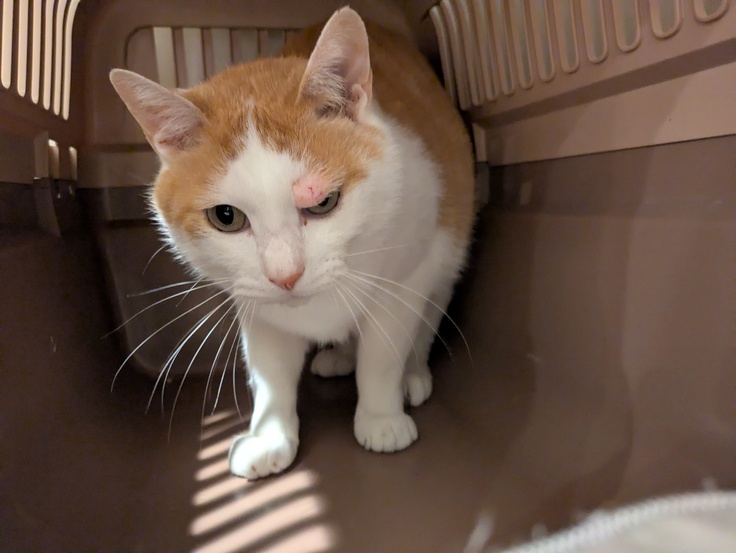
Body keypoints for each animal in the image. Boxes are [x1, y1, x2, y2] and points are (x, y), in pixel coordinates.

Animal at [110, 6, 475, 480]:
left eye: (323, 202)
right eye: (225, 217)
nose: (285, 276)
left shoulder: (404, 280)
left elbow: (381, 357)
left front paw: (381, 416)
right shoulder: (256, 307)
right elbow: (270, 376)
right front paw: (269, 435)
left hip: (446, 256)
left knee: (427, 320)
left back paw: (412, 374)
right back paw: (339, 355)